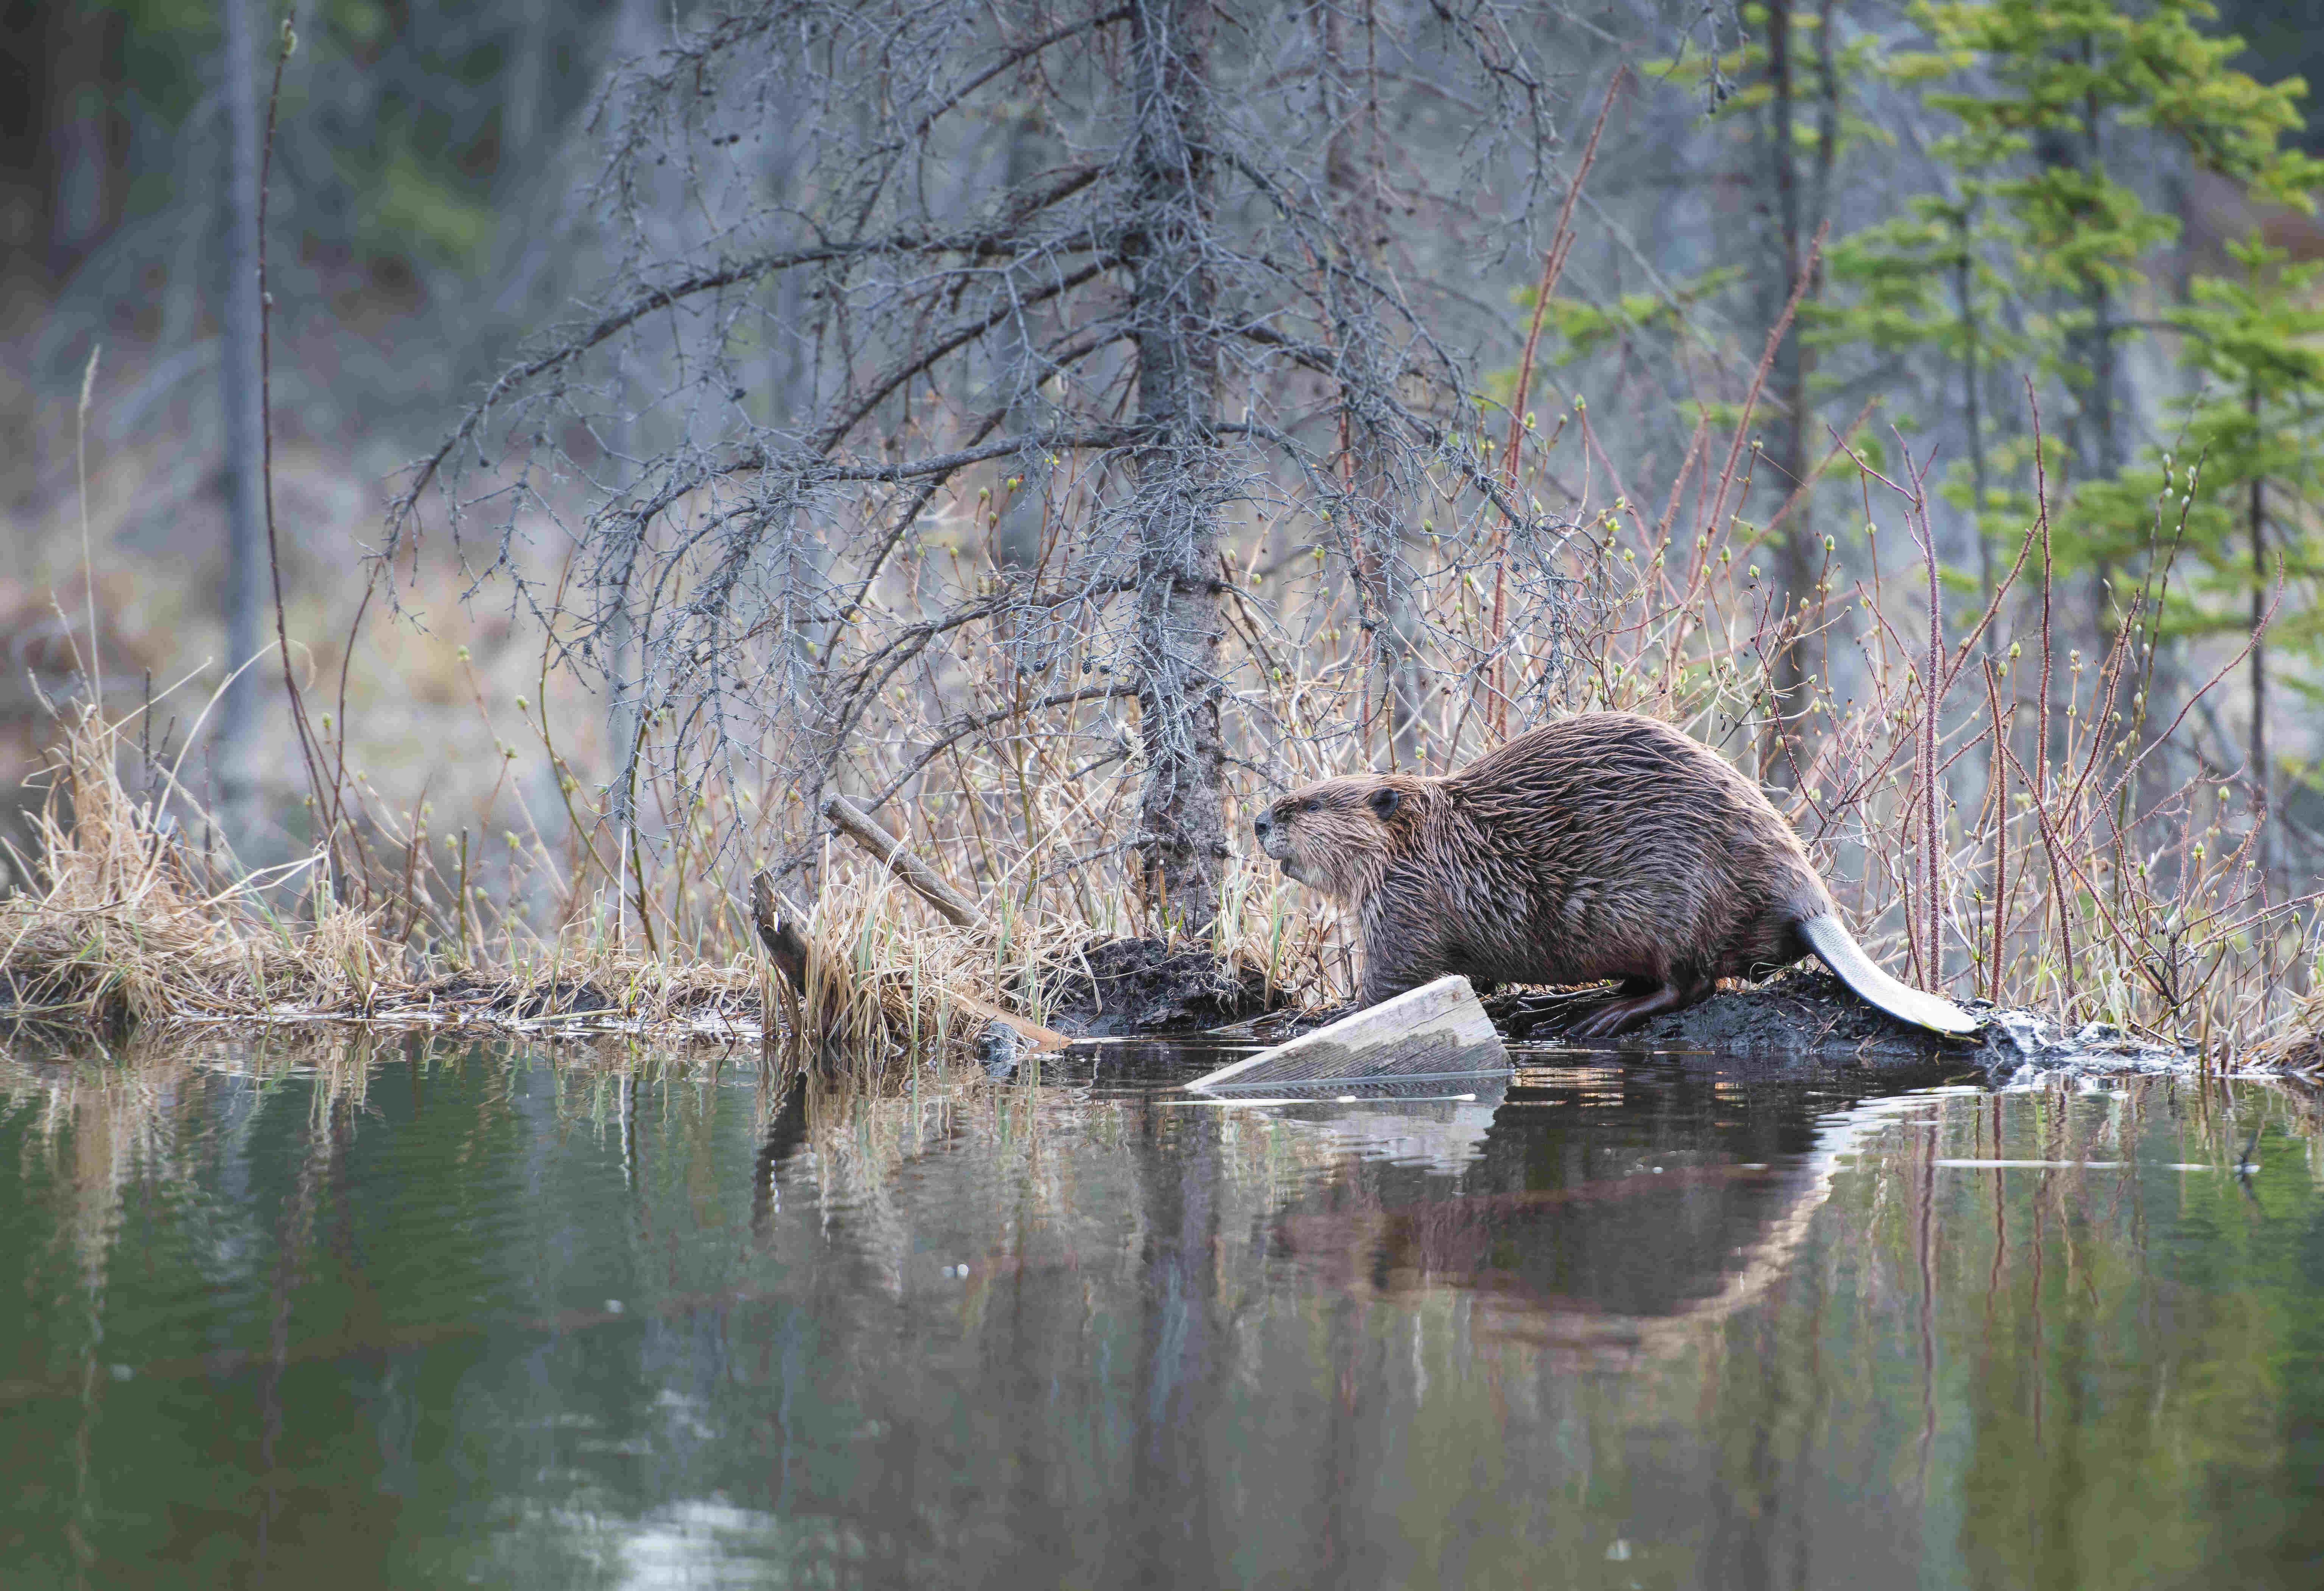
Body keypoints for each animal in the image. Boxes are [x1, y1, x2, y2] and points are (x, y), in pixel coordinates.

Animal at [1255, 710, 1980, 1036]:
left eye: (1308, 803)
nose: (1260, 821)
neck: (1437, 838)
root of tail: (1811, 908)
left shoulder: (1406, 900)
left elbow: (1391, 981)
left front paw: (1323, 1018)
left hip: (1677, 906)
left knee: (1692, 984)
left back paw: (1597, 1016)